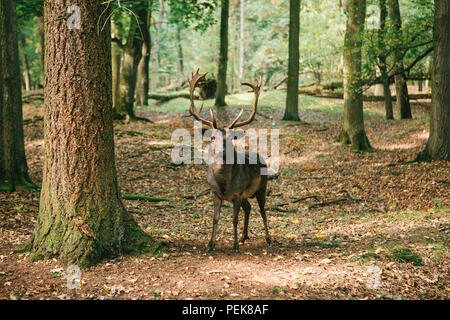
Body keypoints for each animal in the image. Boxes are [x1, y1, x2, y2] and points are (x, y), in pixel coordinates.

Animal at [186, 69, 270, 254]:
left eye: (232, 138)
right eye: (212, 137)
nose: (222, 152)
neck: (224, 184)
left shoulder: (237, 194)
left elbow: (234, 219)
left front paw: (235, 247)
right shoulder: (215, 193)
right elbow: (215, 218)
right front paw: (210, 245)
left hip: (262, 186)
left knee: (262, 209)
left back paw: (268, 239)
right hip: (246, 194)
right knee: (249, 208)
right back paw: (244, 237)